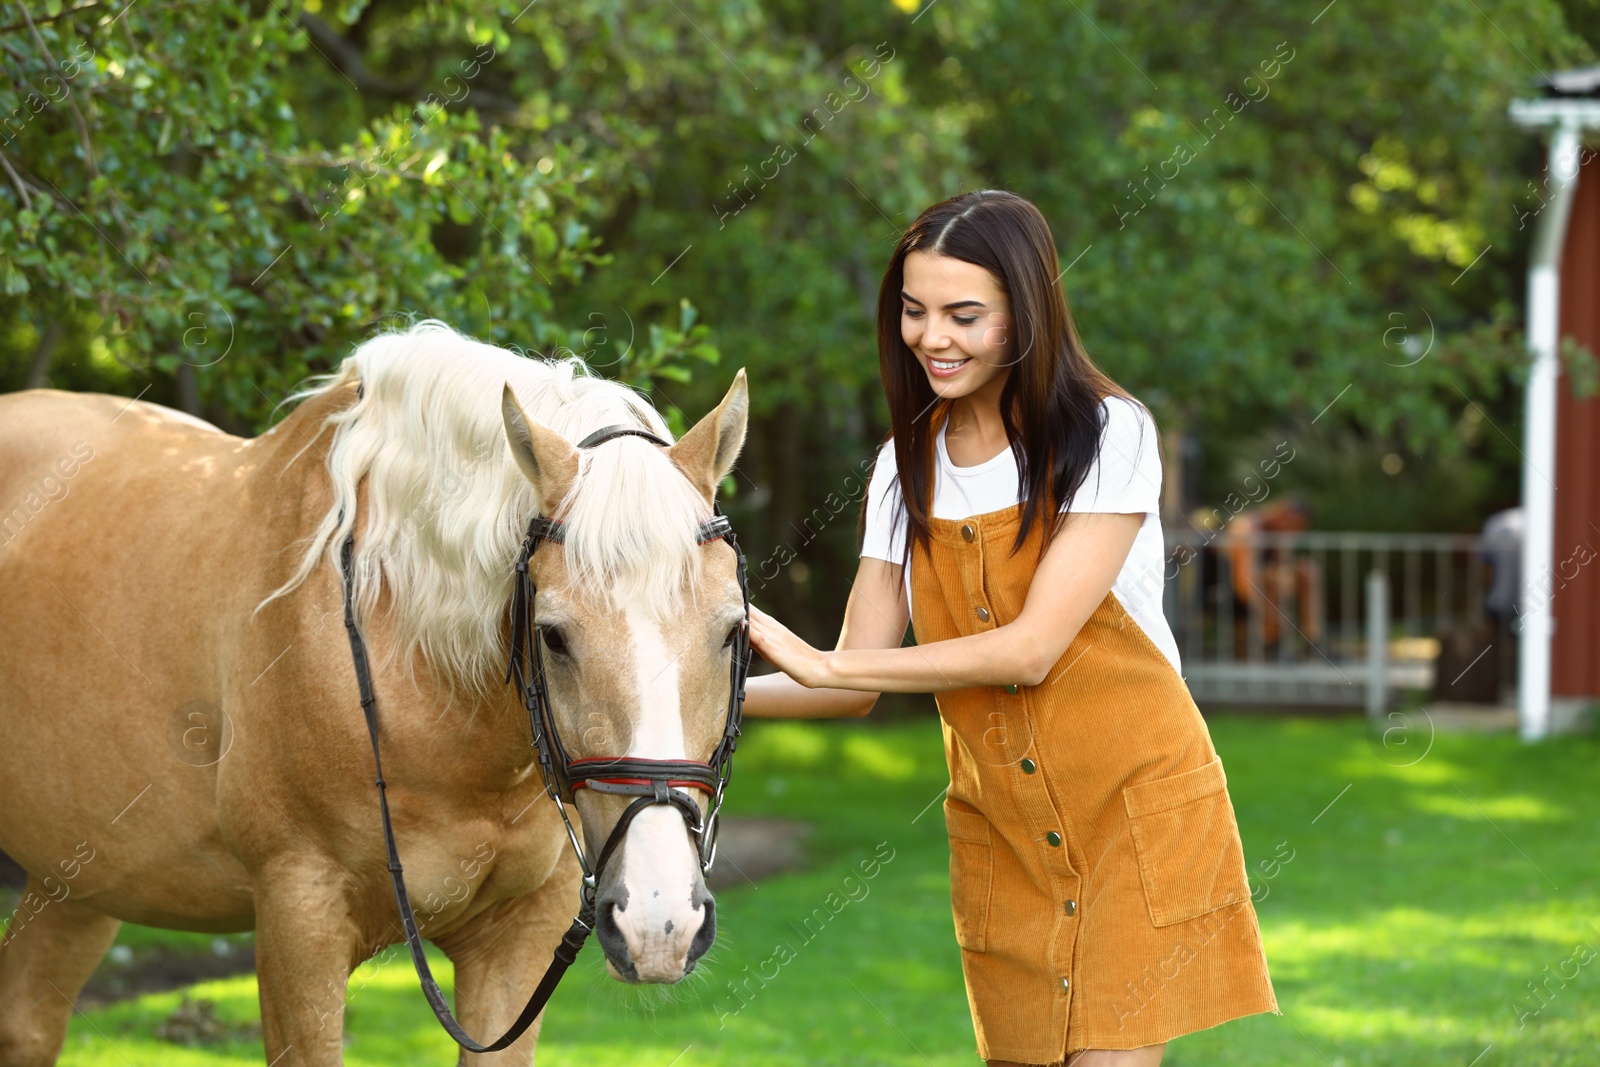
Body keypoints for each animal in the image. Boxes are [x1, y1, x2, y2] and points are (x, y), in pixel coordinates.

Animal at [0, 321, 748, 1062]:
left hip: (79, 877)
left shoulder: (520, 935)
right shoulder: (300, 920)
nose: (660, 920)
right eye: (555, 636)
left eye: (732, 631)